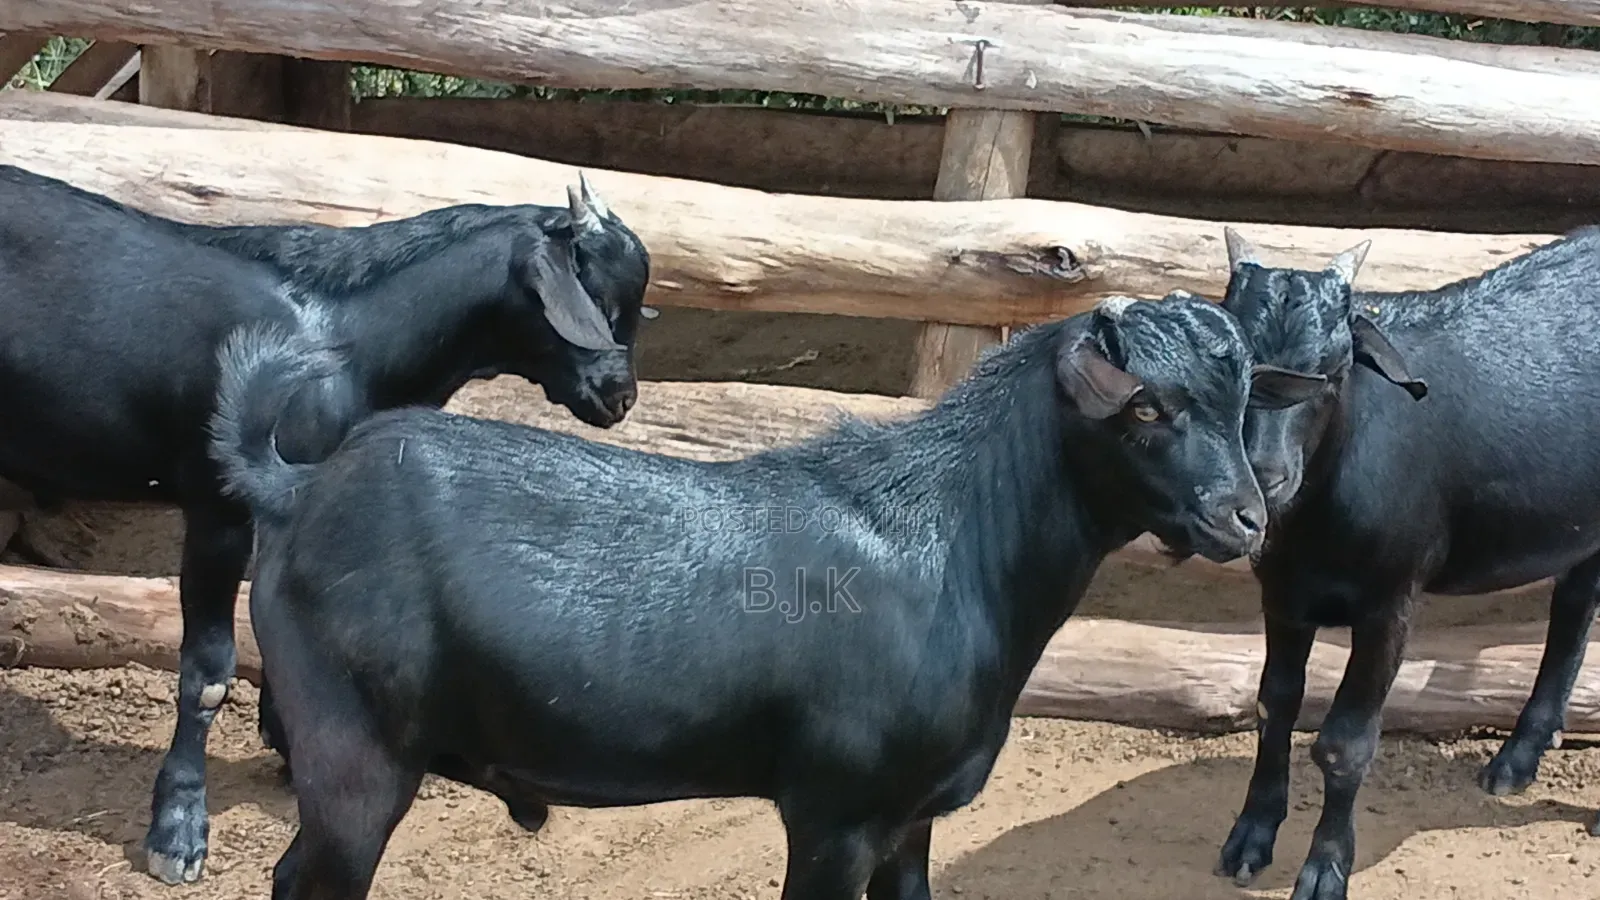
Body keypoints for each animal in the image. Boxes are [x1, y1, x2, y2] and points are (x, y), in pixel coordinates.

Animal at [0, 164, 651, 886]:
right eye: (593, 298)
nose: (619, 397)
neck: (346, 340)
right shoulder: (220, 504)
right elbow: (210, 667)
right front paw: (179, 830)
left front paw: (289, 746)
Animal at [208, 292, 1325, 900]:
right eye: (1144, 408)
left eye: (1239, 402)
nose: (1244, 519)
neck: (952, 545)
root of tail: (301, 487)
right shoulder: (833, 813)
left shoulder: (910, 817)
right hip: (353, 749)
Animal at [1209, 226, 1600, 900]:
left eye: (1334, 370)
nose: (1266, 476)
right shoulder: (1282, 596)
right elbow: (1273, 705)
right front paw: (1251, 837)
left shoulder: (1390, 601)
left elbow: (1345, 743)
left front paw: (1324, 869)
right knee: (1576, 598)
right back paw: (1516, 759)